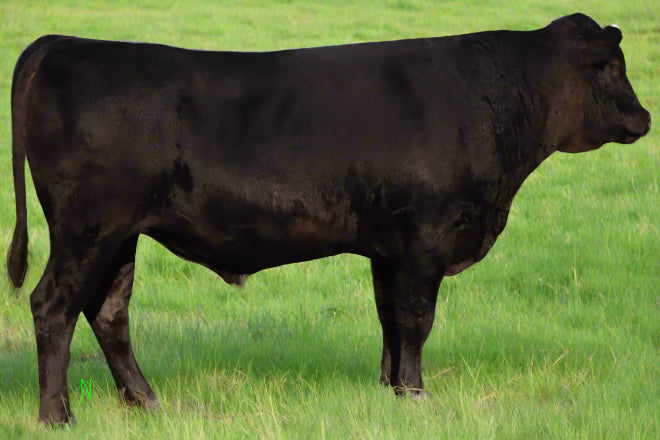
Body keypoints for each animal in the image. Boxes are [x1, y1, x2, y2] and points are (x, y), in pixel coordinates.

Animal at [5, 13, 652, 422]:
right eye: (609, 69)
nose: (645, 119)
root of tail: (64, 44)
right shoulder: (425, 239)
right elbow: (417, 320)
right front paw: (418, 395)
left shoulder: (389, 248)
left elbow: (391, 320)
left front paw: (391, 390)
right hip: (87, 229)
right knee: (53, 306)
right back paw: (57, 415)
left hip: (119, 235)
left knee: (109, 312)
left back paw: (147, 402)